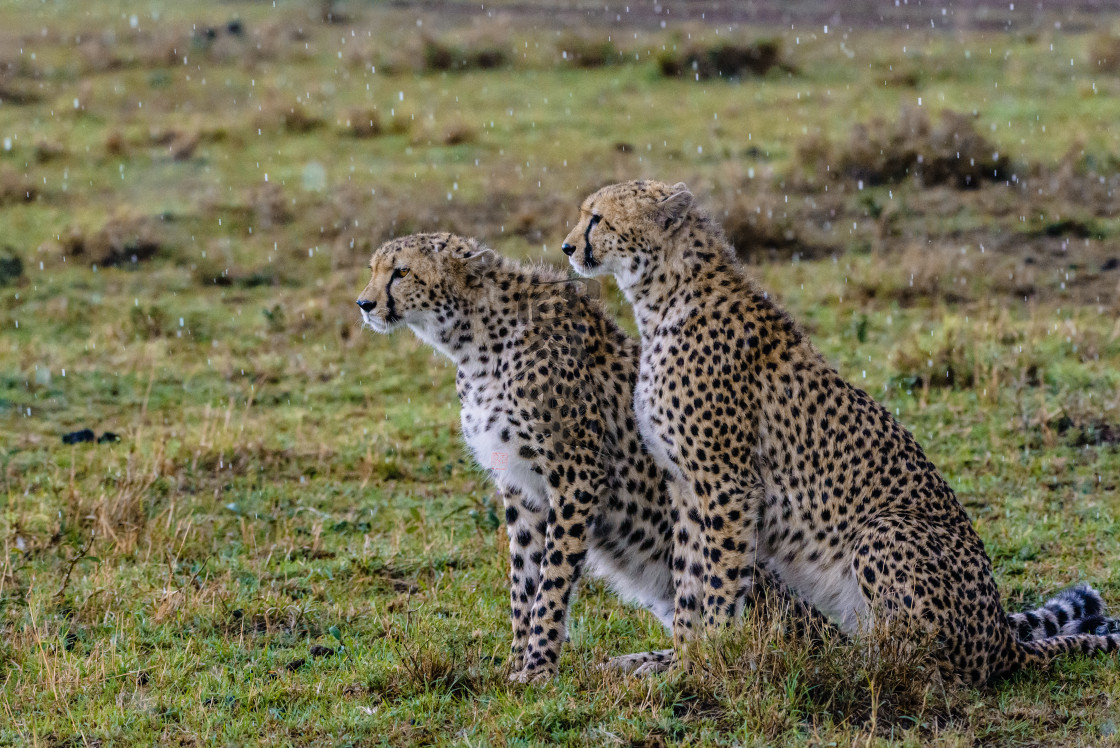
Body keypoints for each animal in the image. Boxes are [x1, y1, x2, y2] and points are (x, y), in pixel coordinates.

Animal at [564, 181, 1120, 685]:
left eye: (597, 218)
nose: (568, 247)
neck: (662, 296)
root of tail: (1003, 640)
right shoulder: (683, 485)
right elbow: (689, 580)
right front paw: (680, 657)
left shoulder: (726, 484)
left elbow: (719, 582)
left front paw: (704, 662)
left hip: (884, 531)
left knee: (934, 663)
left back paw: (855, 663)